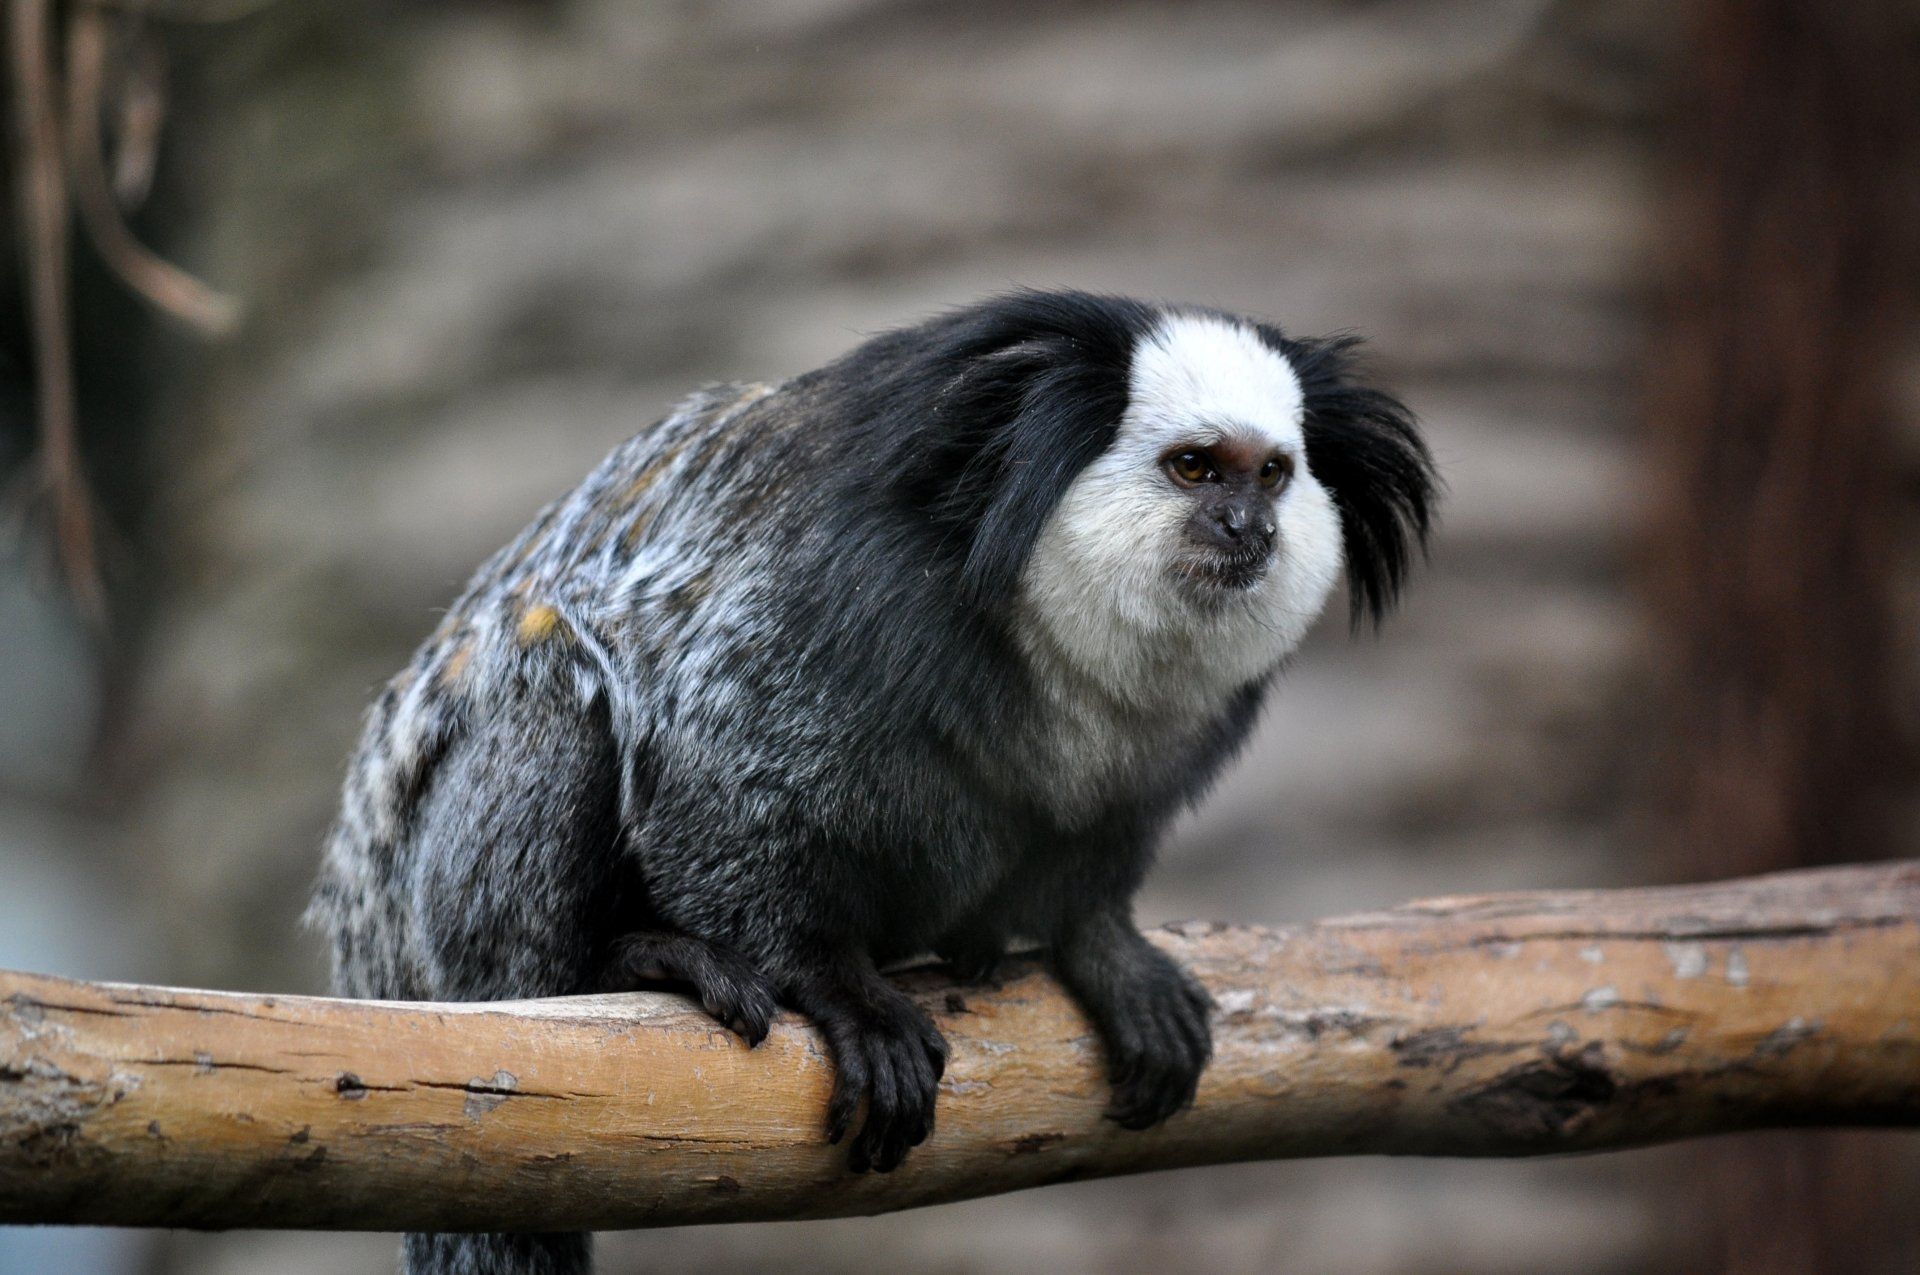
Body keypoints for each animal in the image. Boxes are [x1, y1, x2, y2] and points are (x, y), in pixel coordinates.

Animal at [308, 290, 1436, 1275]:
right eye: (1196, 468)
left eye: (1272, 474)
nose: (1249, 527)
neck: (1036, 629)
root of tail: (372, 961)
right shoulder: (839, 600)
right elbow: (715, 783)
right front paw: (839, 989)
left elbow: (1091, 854)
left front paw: (1102, 948)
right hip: (444, 943)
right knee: (553, 680)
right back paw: (624, 960)